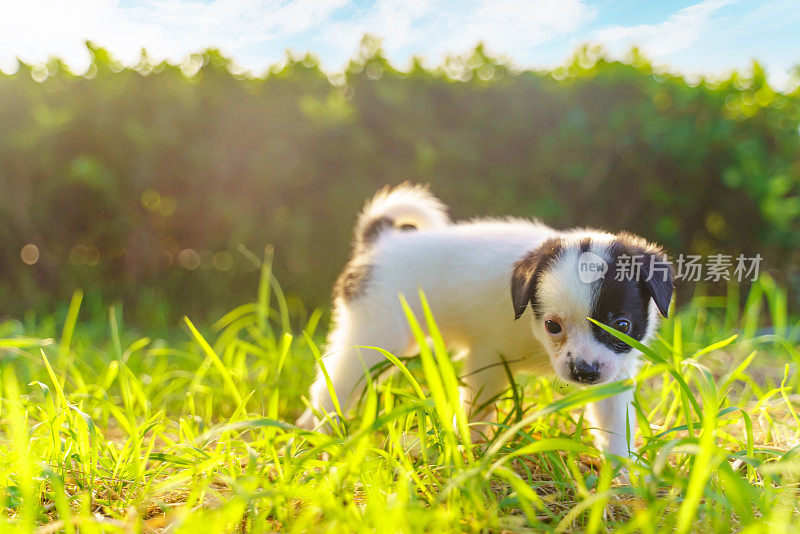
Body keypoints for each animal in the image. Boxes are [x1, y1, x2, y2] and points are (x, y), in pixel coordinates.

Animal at [296, 184, 672, 460]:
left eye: (621, 326)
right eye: (553, 325)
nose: (585, 372)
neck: (535, 338)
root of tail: (380, 241)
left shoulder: (615, 374)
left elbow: (615, 426)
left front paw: (623, 479)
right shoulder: (488, 360)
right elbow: (477, 410)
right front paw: (474, 455)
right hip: (375, 336)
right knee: (331, 387)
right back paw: (323, 439)